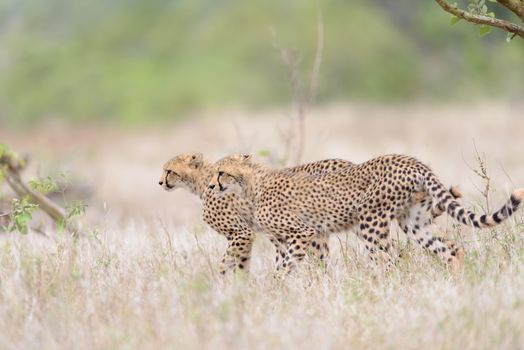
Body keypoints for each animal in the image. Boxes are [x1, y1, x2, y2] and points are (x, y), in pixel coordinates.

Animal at [159, 153, 356, 274]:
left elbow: (226, 262)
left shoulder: (242, 232)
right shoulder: (253, 236)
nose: (160, 182)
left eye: (169, 171)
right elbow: (242, 263)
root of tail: (350, 164)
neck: (203, 180)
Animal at [209, 154, 524, 274]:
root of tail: (412, 161)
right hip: (413, 222)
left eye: (221, 172)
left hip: (370, 223)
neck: (250, 185)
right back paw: (456, 282)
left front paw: (274, 290)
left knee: (390, 260)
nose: (211, 185)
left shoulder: (303, 233)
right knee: (450, 249)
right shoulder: (292, 238)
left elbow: (284, 268)